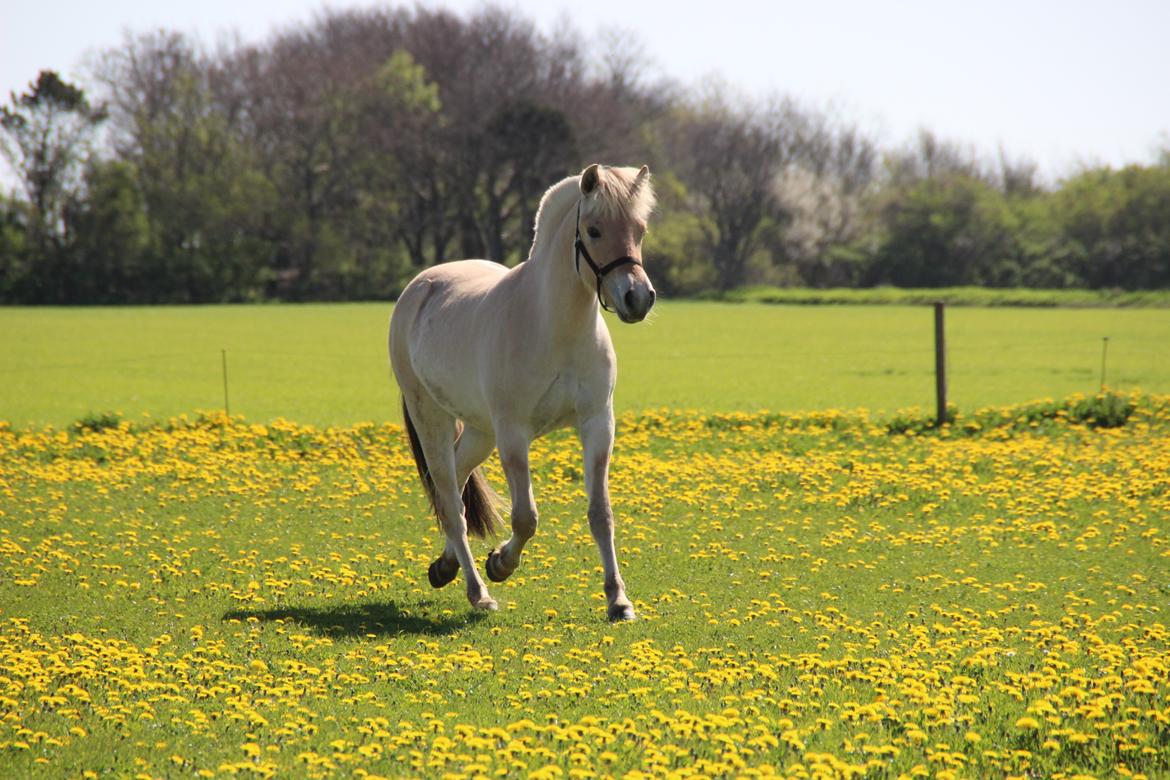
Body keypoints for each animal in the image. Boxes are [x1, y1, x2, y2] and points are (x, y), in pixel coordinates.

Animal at [386, 163, 655, 622]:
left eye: (639, 229)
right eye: (595, 230)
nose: (638, 298)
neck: (555, 327)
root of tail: (419, 286)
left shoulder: (597, 424)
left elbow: (600, 514)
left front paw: (618, 600)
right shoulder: (514, 434)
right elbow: (525, 518)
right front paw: (500, 563)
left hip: (480, 431)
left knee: (456, 482)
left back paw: (444, 566)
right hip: (433, 419)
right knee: (451, 504)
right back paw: (478, 592)